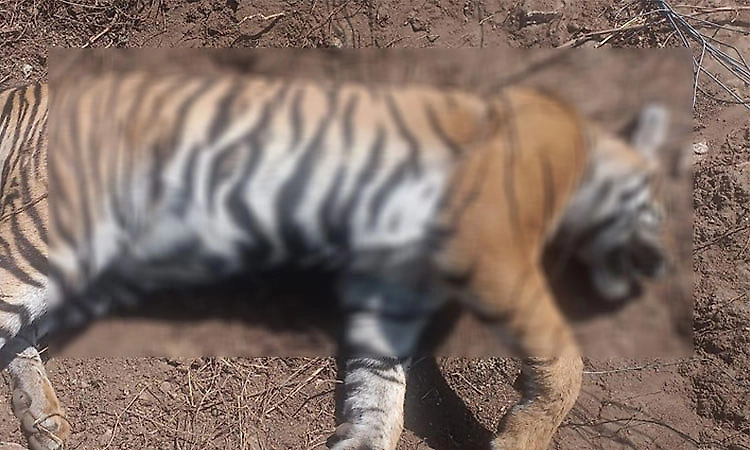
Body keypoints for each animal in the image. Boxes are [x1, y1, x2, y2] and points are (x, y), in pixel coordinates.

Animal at [0, 70, 669, 450]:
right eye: (660, 209)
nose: (662, 268)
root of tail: (26, 90)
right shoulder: (489, 247)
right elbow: (564, 362)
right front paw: (522, 439)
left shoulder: (389, 285)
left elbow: (381, 399)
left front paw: (361, 438)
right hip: (57, 229)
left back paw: (43, 423)